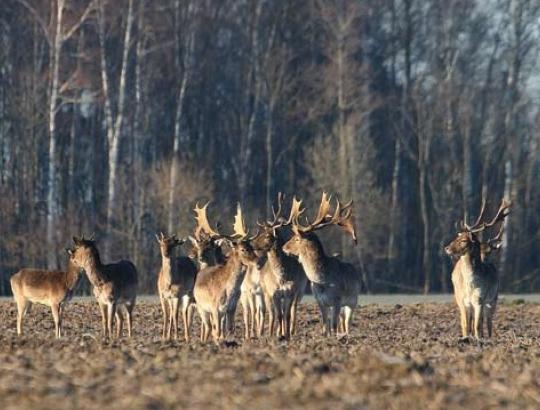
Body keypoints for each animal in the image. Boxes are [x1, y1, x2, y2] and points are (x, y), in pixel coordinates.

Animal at [194, 203, 264, 342]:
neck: (229, 291)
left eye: (252, 247)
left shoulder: (231, 309)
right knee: (208, 327)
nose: (258, 261)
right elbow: (217, 331)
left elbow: (229, 330)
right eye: (243, 249)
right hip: (201, 307)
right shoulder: (215, 307)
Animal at [253, 192, 308, 340]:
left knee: (289, 311)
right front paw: (278, 335)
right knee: (272, 314)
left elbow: (286, 315)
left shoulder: (290, 292)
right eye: (260, 232)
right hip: (265, 292)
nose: (252, 244)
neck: (282, 276)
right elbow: (278, 315)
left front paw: (287, 335)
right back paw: (272, 333)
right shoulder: (274, 293)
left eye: (267, 235)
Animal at [280, 194, 360, 334]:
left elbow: (333, 326)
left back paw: (347, 334)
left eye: (297, 238)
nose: (284, 247)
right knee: (342, 321)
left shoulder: (337, 300)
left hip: (352, 301)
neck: (322, 280)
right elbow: (324, 325)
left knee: (347, 323)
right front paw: (325, 335)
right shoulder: (320, 301)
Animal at [442, 199, 510, 340]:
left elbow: (478, 325)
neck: (470, 285)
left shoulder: (479, 299)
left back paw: (489, 337)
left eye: (463, 240)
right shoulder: (462, 301)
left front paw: (479, 339)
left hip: (493, 299)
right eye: (457, 237)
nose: (447, 248)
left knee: (488, 321)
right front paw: (466, 339)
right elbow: (465, 325)